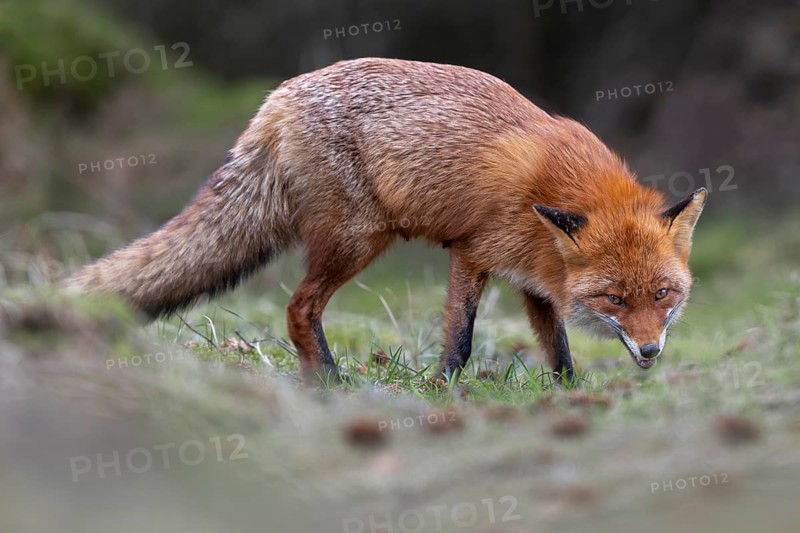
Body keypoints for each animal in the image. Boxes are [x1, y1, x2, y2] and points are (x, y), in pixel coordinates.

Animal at [69, 58, 707, 383]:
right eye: (615, 300)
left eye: (662, 294)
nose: (650, 351)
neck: (557, 185)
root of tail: (278, 96)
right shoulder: (472, 251)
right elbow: (461, 339)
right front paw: (442, 391)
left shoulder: (536, 280)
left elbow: (560, 353)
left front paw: (569, 396)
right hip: (358, 240)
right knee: (299, 308)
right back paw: (329, 382)